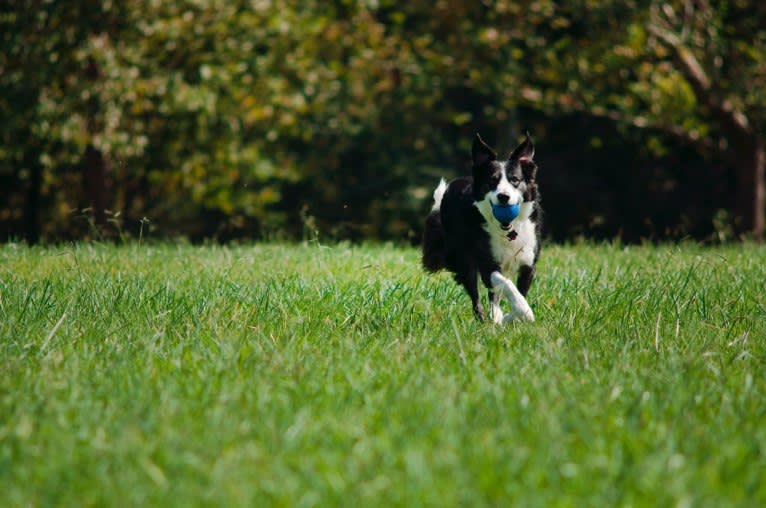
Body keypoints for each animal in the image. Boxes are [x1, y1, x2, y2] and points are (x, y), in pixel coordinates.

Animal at [424, 131, 544, 322]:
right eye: (492, 181)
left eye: (515, 180)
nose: (503, 197)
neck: (508, 231)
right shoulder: (487, 262)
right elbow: (506, 284)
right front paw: (522, 312)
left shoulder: (528, 262)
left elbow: (518, 291)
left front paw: (512, 317)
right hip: (463, 259)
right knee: (476, 295)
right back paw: (486, 317)